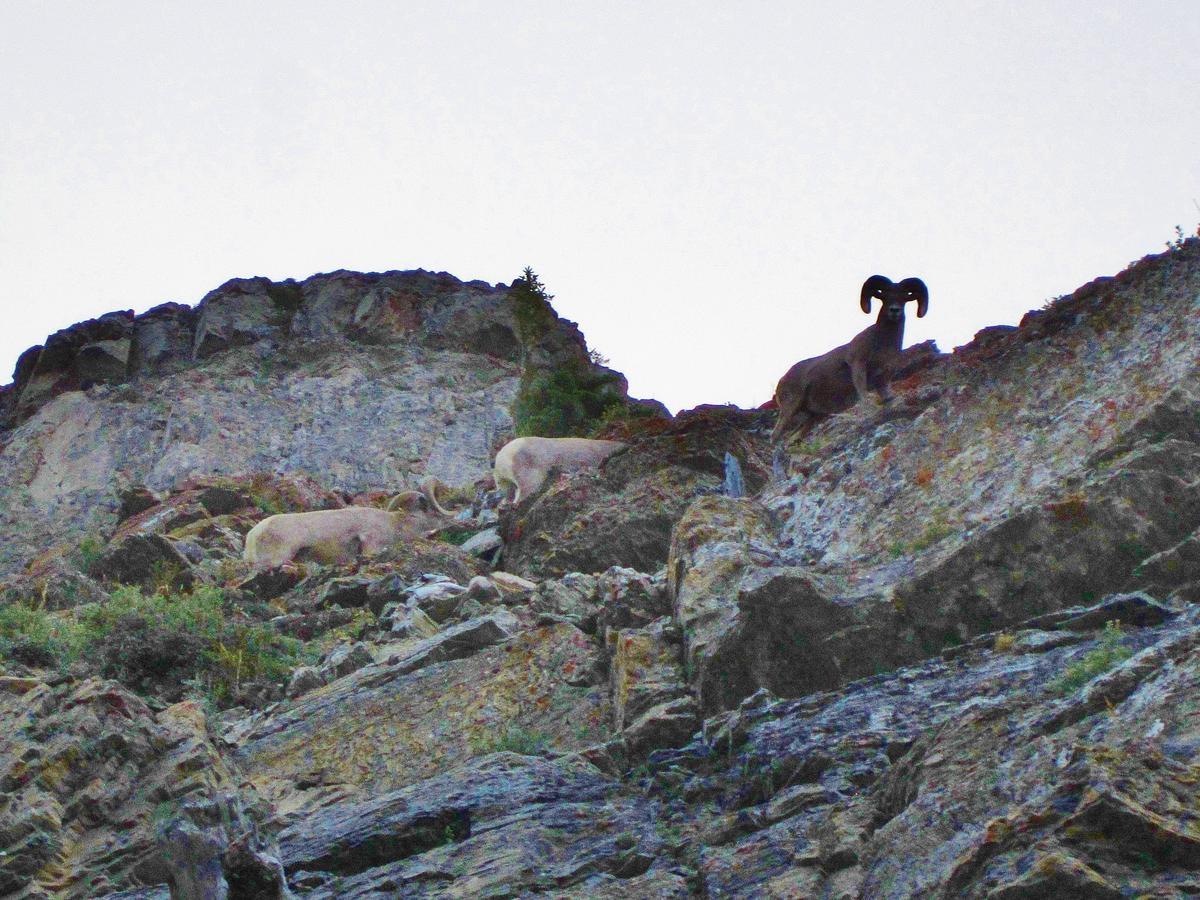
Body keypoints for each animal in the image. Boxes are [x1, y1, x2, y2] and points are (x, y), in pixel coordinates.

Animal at [768, 273, 926, 446]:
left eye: (904, 297)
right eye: (884, 296)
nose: (894, 310)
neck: (883, 343)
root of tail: (781, 381)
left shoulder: (883, 380)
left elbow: (887, 399)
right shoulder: (858, 366)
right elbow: (864, 397)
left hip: (812, 417)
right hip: (790, 407)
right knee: (776, 435)